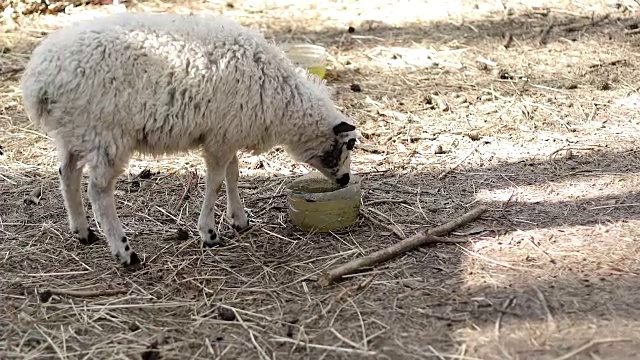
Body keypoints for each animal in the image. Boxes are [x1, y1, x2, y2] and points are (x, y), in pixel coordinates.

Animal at [20, 11, 358, 270]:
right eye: (347, 145)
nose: (345, 180)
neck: (282, 101)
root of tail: (40, 79)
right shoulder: (220, 138)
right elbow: (216, 182)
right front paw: (209, 233)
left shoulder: (227, 133)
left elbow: (233, 175)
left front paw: (239, 219)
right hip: (106, 134)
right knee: (99, 191)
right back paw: (124, 251)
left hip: (75, 131)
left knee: (67, 173)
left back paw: (82, 231)